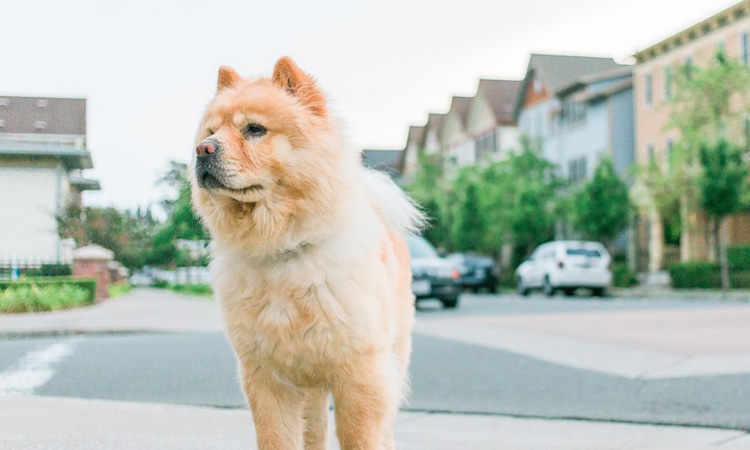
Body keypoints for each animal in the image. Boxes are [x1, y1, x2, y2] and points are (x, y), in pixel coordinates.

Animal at [191, 57, 426, 450]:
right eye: (211, 131)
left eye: (254, 129)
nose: (203, 150)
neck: (283, 247)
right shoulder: (268, 378)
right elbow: (276, 438)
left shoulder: (359, 374)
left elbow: (360, 437)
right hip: (312, 389)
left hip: (391, 359)